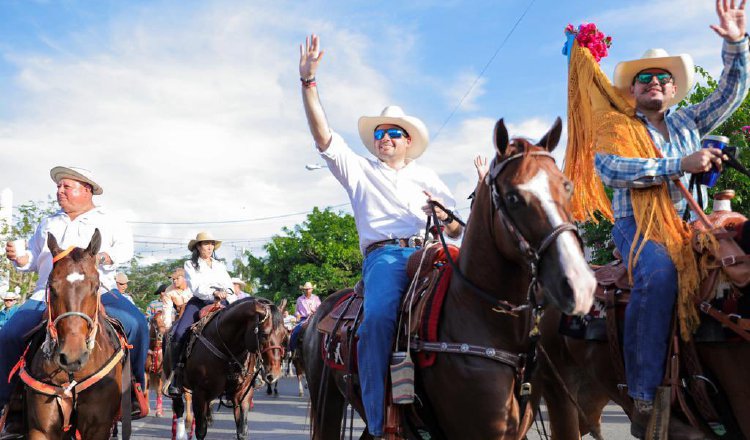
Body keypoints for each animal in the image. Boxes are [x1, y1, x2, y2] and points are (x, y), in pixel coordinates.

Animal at [164, 296, 288, 440]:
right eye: (264, 334)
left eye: (284, 335)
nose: (274, 374)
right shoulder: (200, 393)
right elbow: (200, 431)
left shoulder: (242, 393)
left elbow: (242, 431)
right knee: (178, 407)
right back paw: (180, 434)